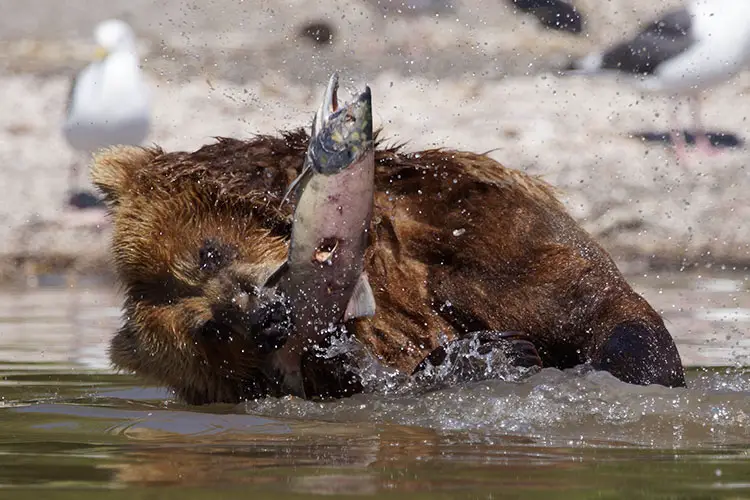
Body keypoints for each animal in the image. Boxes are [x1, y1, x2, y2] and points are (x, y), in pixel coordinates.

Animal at [89, 128, 688, 402]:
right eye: (211, 330)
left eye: (208, 252)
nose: (261, 316)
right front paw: (485, 357)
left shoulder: (468, 230)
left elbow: (591, 306)